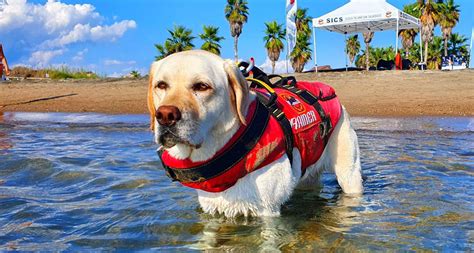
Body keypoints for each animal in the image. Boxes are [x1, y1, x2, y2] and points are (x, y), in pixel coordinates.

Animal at [148, 50, 362, 216]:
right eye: (161, 85)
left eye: (202, 86)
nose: (165, 115)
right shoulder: (211, 209)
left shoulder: (267, 211)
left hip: (349, 173)